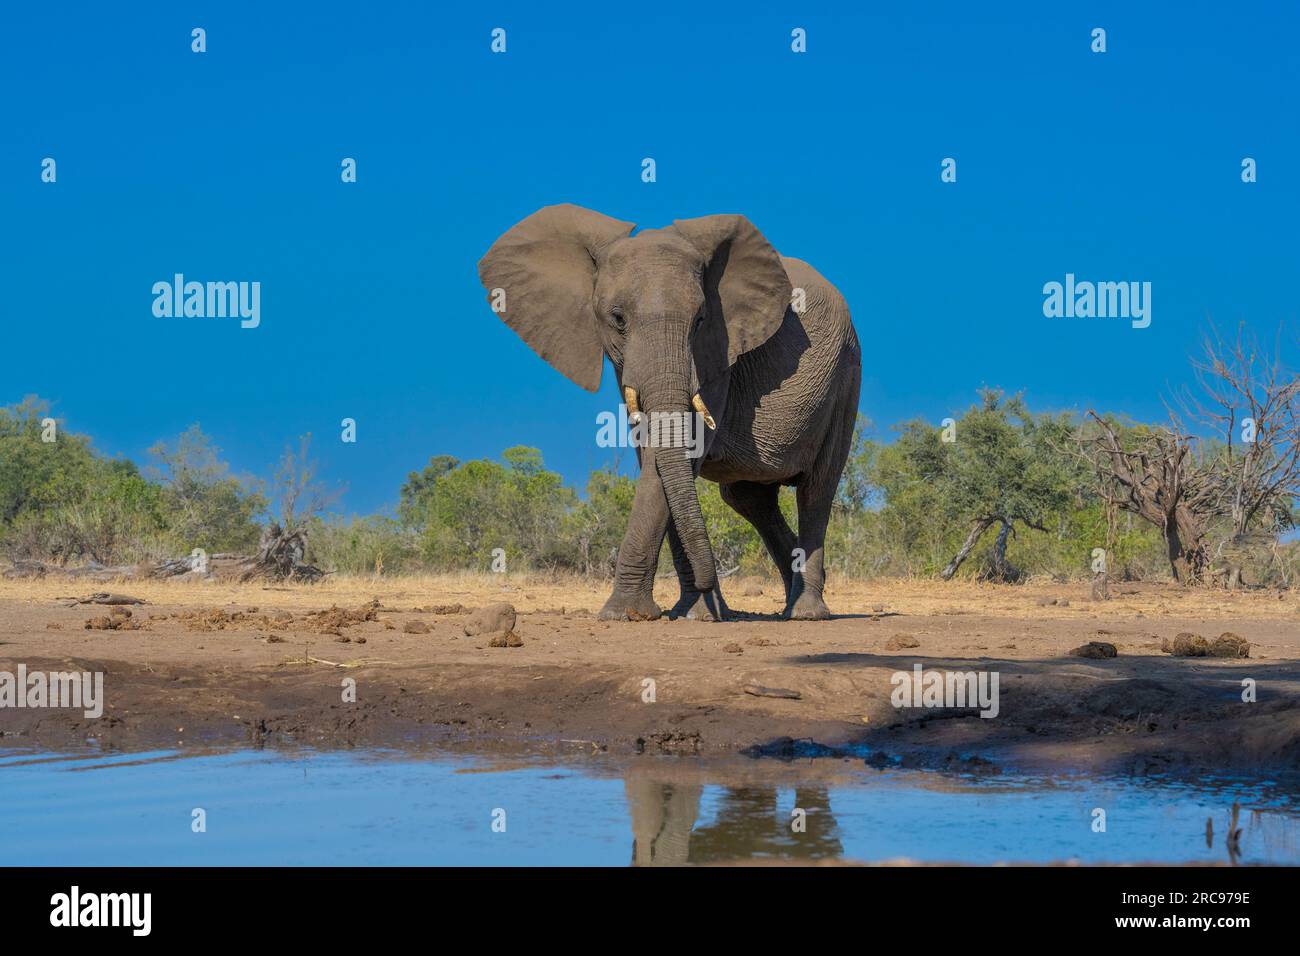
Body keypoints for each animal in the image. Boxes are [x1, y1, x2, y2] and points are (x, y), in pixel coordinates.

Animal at [480, 204, 863, 621]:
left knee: (816, 490)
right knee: (749, 498)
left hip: (845, 377)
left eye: (700, 320)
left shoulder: (717, 355)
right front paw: (691, 613)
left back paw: (806, 612)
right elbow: (654, 456)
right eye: (618, 318)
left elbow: (674, 456)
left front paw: (623, 613)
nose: (711, 586)